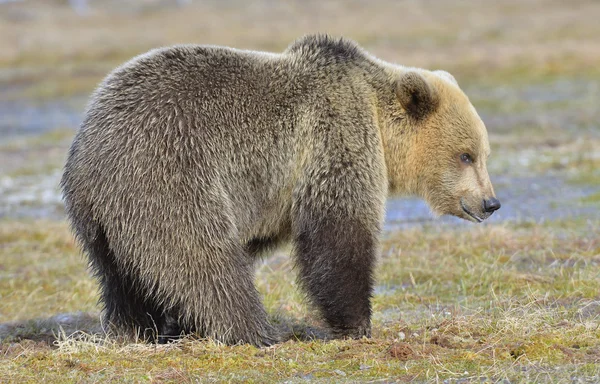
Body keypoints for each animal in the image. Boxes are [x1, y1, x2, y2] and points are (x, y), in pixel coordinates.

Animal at [62, 34, 502, 346]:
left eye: (483, 154)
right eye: (466, 155)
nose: (490, 202)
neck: (378, 118)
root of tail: (91, 145)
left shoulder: (276, 194)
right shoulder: (335, 136)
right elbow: (338, 233)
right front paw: (357, 324)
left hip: (98, 216)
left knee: (120, 274)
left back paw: (138, 328)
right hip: (169, 173)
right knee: (203, 258)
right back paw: (254, 332)